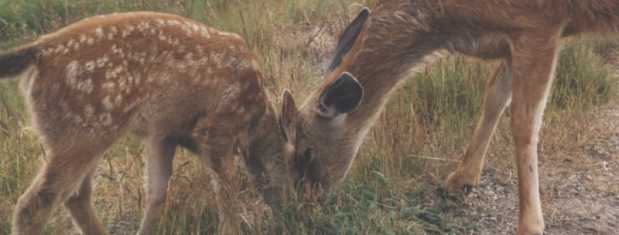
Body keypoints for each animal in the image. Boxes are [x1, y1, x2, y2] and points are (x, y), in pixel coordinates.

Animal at [0, 11, 304, 235]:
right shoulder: (216, 127)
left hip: (80, 133)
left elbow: (157, 194)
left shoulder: (162, 133)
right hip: (83, 130)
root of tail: (38, 51)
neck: (254, 121)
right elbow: (225, 193)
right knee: (33, 205)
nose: (294, 210)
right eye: (298, 162)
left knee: (76, 195)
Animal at [284, 1, 619, 235]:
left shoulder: (539, 25)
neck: (456, 26)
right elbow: (494, 97)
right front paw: (461, 178)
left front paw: (530, 224)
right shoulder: (511, 35)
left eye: (306, 151)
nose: (303, 205)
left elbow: (524, 123)